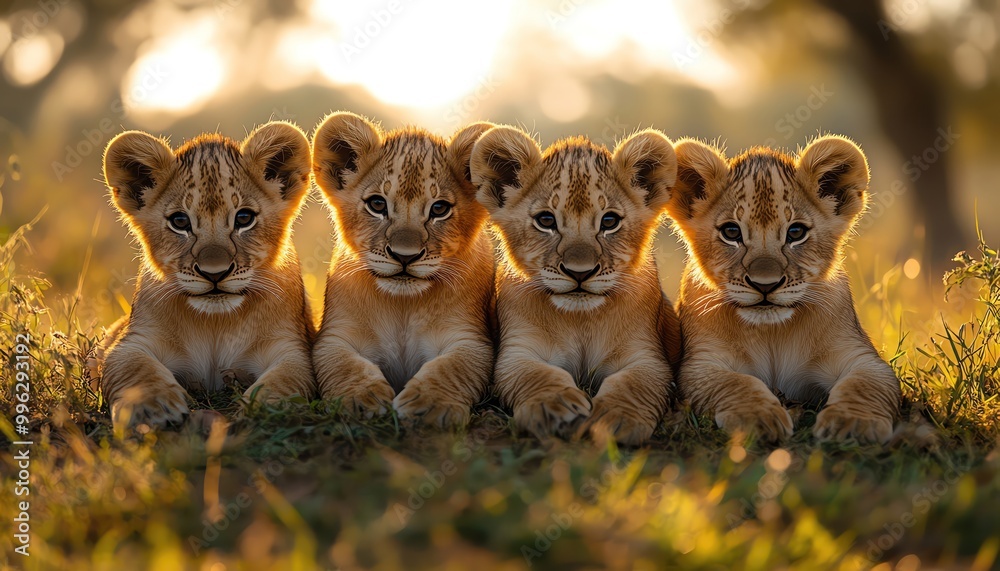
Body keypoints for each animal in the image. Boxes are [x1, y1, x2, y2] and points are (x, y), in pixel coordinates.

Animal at [95, 121, 315, 430]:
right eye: (180, 221)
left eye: (244, 218)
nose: (215, 273)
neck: (215, 324)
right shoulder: (132, 340)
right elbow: (133, 368)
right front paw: (152, 407)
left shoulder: (292, 347)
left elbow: (286, 380)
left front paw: (263, 409)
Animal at [310, 112, 495, 428]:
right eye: (377, 204)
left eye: (439, 209)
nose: (404, 256)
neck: (402, 307)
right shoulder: (334, 337)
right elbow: (343, 365)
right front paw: (361, 398)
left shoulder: (471, 339)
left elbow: (452, 367)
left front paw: (430, 405)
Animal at [468, 126, 682, 446]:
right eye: (546, 220)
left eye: (609, 221)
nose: (579, 272)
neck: (581, 320)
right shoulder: (517, 351)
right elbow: (533, 374)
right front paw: (553, 406)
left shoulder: (648, 356)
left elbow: (634, 383)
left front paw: (615, 417)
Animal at [666, 135, 901, 443]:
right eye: (731, 232)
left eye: (796, 232)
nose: (765, 284)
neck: (772, 334)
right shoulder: (700, 363)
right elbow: (734, 382)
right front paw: (758, 417)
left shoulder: (860, 357)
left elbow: (865, 384)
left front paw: (854, 422)